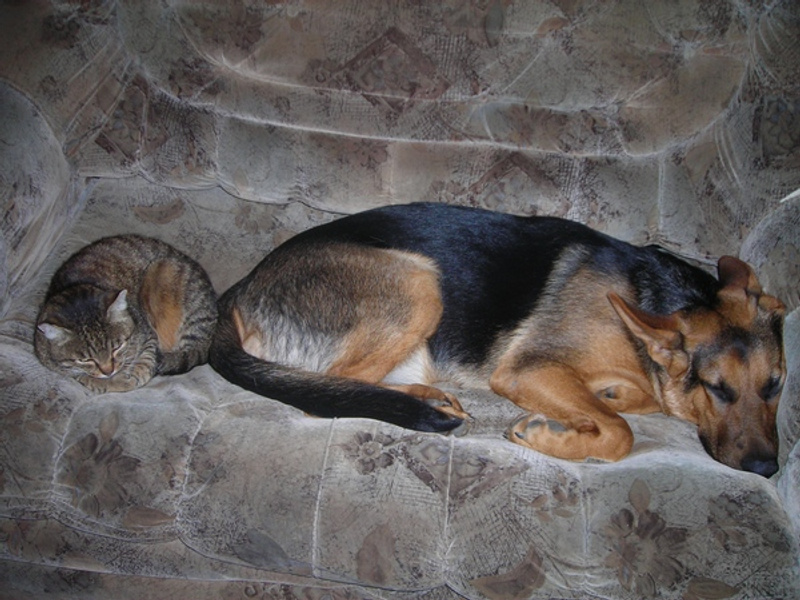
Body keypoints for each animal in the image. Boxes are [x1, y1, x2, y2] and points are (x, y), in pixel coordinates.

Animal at [34, 235, 218, 393]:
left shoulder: (148, 334)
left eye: (117, 347)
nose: (108, 371)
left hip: (167, 274)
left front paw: (129, 377)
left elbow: (145, 361)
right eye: (85, 359)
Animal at [210, 203, 786, 477]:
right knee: (325, 392)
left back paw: (431, 396)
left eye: (777, 385)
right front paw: (552, 437)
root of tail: (241, 288)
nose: (766, 470)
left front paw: (610, 396)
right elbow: (620, 433)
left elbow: (627, 402)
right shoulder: (529, 369)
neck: (651, 299)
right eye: (716, 388)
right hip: (419, 281)